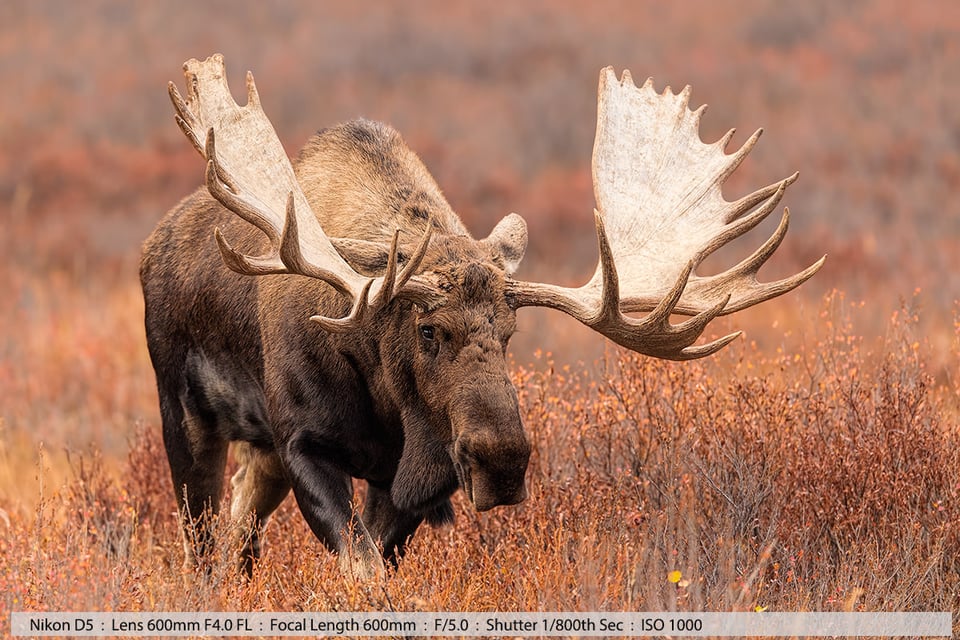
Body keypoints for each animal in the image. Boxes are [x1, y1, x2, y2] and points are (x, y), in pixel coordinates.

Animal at [141, 53, 824, 576]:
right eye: (427, 329)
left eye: (510, 334)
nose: (503, 460)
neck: (388, 402)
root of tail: (154, 242)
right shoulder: (304, 443)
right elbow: (361, 568)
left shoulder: (402, 479)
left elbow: (380, 563)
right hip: (187, 414)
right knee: (202, 542)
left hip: (257, 453)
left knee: (238, 531)